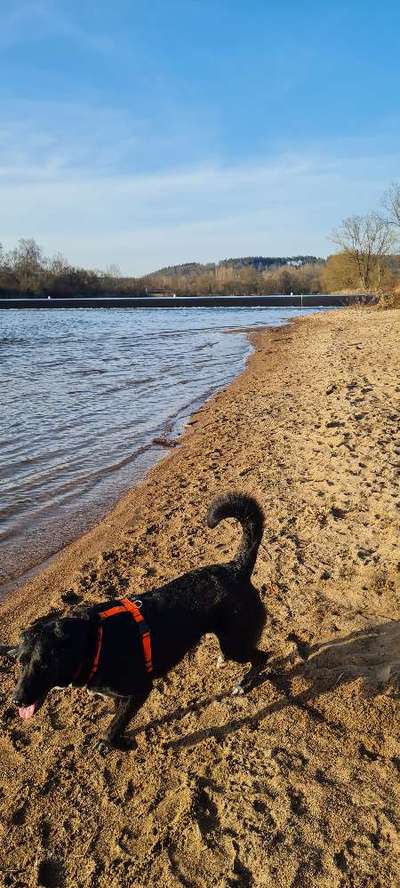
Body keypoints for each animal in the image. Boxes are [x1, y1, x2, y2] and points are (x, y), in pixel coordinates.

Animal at [12, 492, 268, 748]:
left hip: (235, 644)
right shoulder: (120, 696)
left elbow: (113, 728)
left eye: (45, 664)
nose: (16, 701)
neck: (93, 641)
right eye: (21, 663)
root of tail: (236, 568)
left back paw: (243, 684)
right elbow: (117, 716)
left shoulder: (138, 691)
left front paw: (116, 744)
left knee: (262, 657)